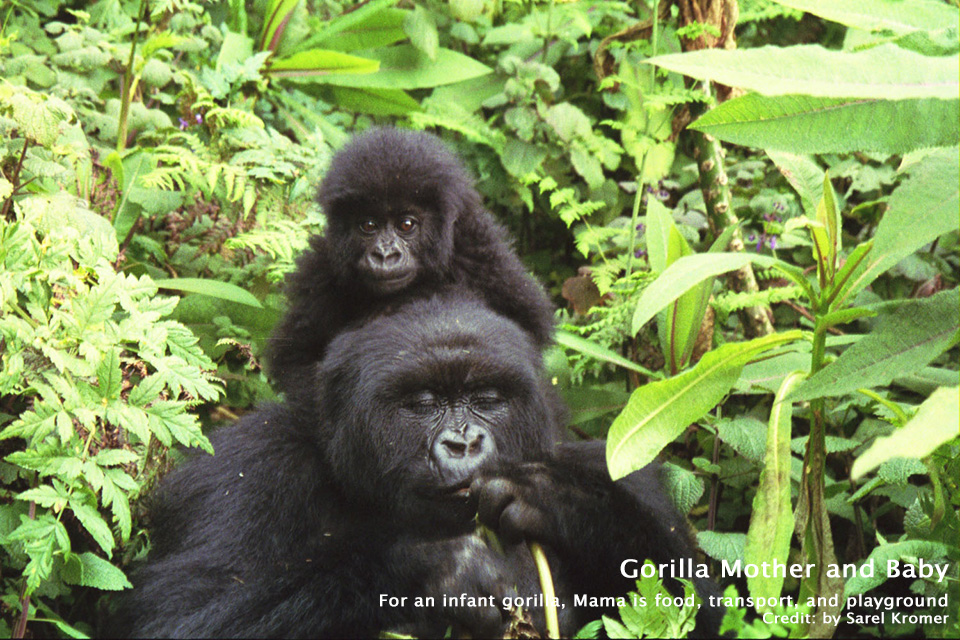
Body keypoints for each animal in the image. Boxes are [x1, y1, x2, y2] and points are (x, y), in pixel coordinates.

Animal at [114, 296, 720, 636]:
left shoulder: (613, 466)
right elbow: (174, 617)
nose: (463, 443)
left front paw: (558, 499)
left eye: (487, 398)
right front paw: (435, 571)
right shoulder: (245, 470)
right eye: (423, 402)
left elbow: (708, 610)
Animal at [270, 127, 556, 398]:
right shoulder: (321, 272)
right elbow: (297, 360)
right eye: (368, 225)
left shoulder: (482, 255)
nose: (385, 255)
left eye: (406, 224)